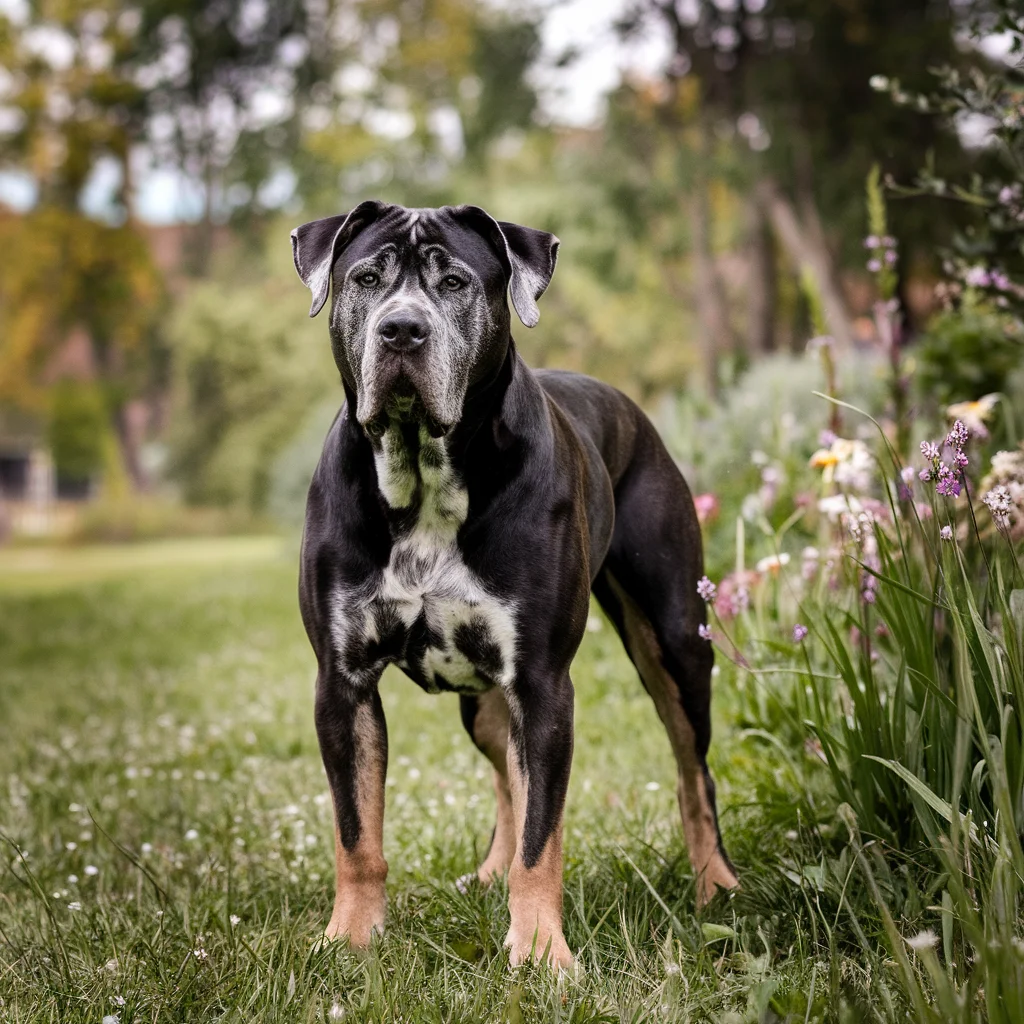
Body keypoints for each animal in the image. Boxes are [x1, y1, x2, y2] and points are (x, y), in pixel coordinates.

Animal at [288, 199, 737, 966]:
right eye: (367, 278)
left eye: (455, 282)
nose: (401, 329)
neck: (425, 473)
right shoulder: (342, 683)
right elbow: (357, 833)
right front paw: (350, 939)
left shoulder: (543, 683)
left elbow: (542, 835)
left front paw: (540, 954)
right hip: (482, 697)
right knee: (506, 776)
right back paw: (488, 874)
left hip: (676, 640)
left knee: (691, 770)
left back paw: (716, 885)